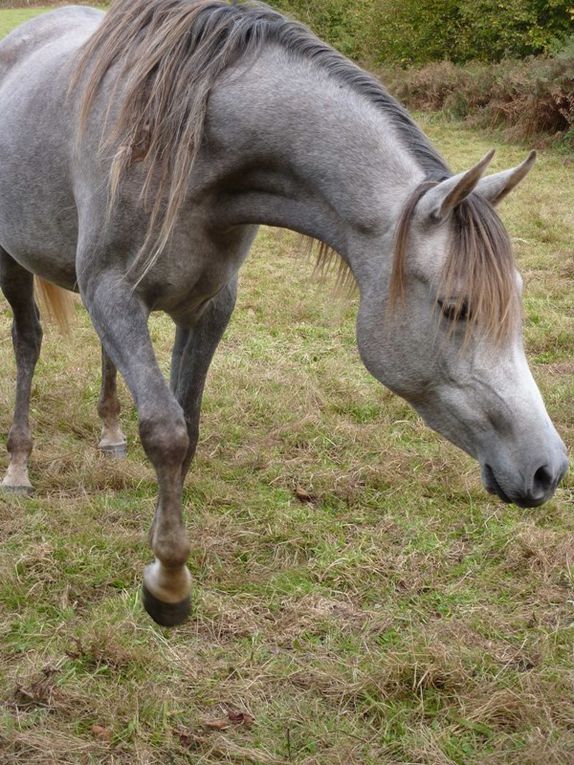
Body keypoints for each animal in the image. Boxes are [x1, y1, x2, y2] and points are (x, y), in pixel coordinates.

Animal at [0, 1, 568, 628]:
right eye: (454, 306)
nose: (548, 470)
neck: (186, 141)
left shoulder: (206, 307)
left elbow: (187, 427)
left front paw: (157, 546)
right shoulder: (113, 292)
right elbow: (167, 431)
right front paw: (168, 583)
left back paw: (108, 433)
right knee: (27, 341)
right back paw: (19, 467)